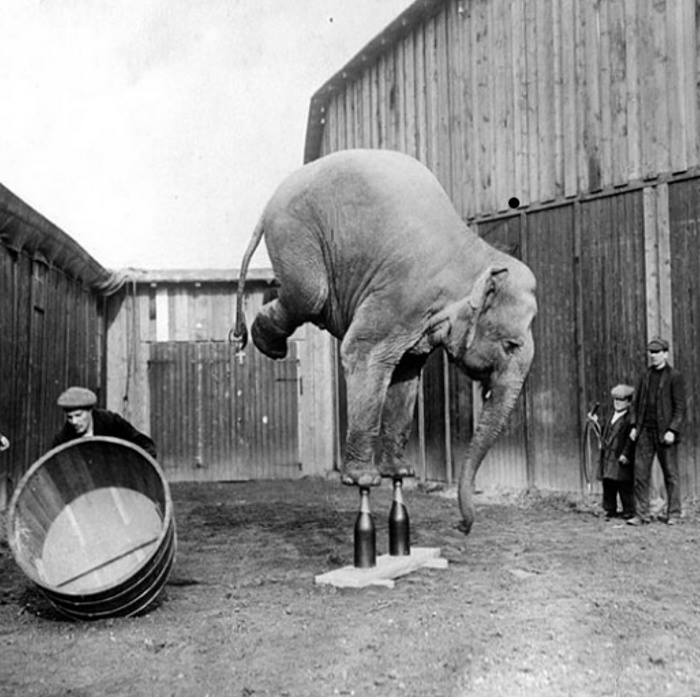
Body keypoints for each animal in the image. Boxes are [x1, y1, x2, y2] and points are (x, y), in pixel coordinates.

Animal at [232, 148, 540, 532]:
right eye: (510, 345)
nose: (463, 526)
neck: (473, 255)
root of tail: (272, 199)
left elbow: (406, 374)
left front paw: (400, 472)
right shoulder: (401, 294)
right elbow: (362, 353)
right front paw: (363, 479)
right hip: (295, 233)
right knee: (310, 295)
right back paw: (267, 344)